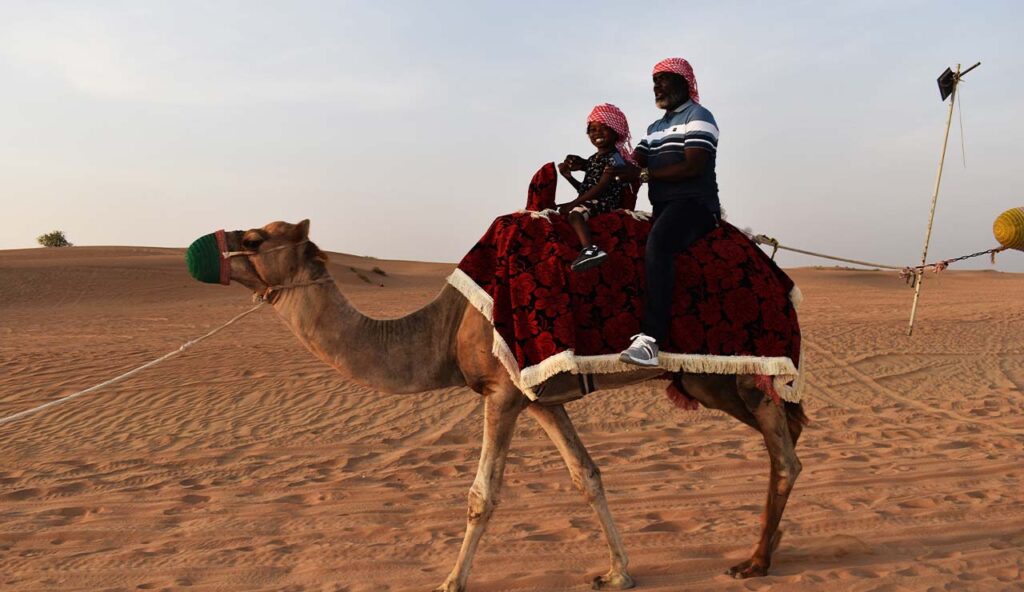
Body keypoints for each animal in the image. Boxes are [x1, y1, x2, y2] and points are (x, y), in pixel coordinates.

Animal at [202, 219, 806, 592]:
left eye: (254, 238)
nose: (208, 247)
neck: (445, 331)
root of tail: (770, 264)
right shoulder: (538, 398)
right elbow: (586, 474)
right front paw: (617, 572)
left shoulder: (502, 393)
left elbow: (482, 494)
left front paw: (450, 581)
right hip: (706, 380)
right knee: (788, 428)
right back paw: (771, 545)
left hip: (738, 360)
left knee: (784, 448)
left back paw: (755, 561)